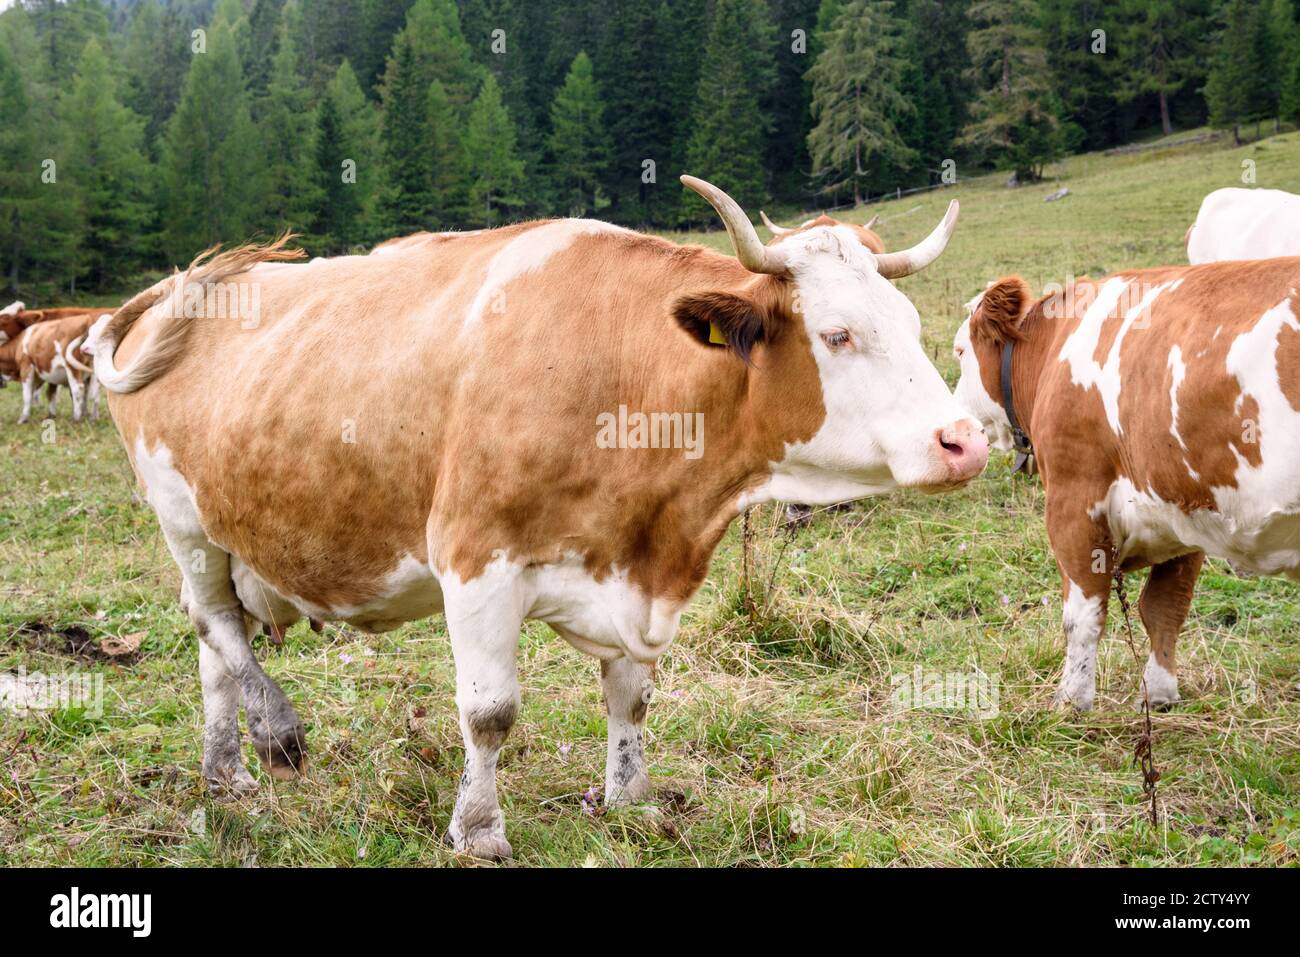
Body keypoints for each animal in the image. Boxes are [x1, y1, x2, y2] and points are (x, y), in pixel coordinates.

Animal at [86, 176, 986, 860]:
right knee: (215, 623)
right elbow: (490, 713)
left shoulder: (629, 567)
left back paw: (224, 771)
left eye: (912, 324)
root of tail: (174, 287)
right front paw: (479, 828)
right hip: (184, 521)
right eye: (837, 334)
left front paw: (629, 795)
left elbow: (631, 695)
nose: (965, 440)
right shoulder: (476, 559)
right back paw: (275, 733)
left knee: (214, 646)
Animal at [953, 259, 1300, 711]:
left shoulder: (1074, 499)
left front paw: (1071, 701)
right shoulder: (1183, 503)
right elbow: (1166, 608)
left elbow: (1082, 615)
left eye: (959, 352)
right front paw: (1160, 693)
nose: (958, 429)